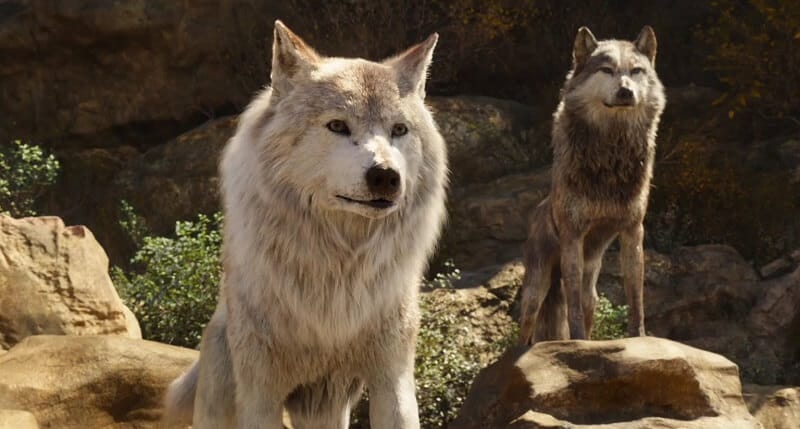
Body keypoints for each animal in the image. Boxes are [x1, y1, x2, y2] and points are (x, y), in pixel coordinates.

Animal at [162, 21, 448, 429]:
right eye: (337, 125)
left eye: (399, 130)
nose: (386, 176)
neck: (337, 274)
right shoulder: (261, 393)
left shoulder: (392, 379)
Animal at [518, 26, 666, 345]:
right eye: (607, 70)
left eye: (635, 71)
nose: (625, 92)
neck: (610, 152)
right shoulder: (573, 235)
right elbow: (571, 305)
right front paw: (576, 342)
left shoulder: (633, 230)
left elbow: (636, 297)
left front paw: (638, 338)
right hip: (535, 292)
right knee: (526, 330)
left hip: (593, 294)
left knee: (586, 305)